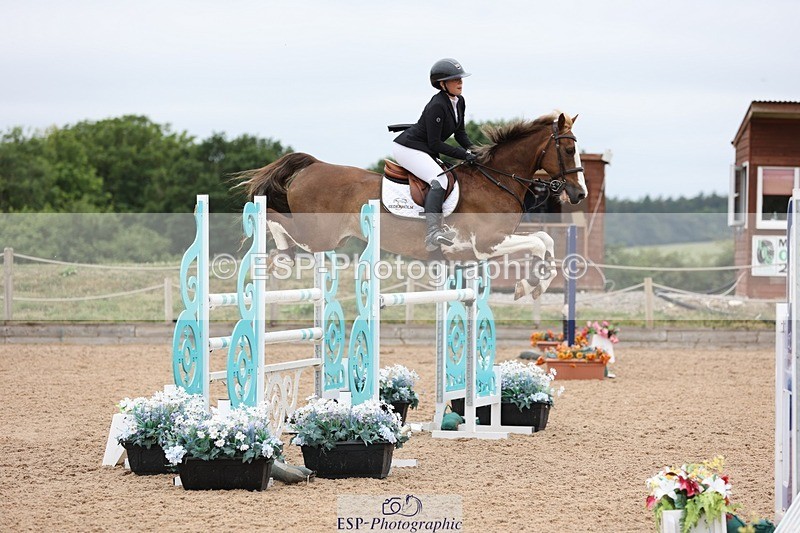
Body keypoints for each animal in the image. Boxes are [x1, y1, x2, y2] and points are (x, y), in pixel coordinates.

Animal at [238, 112, 587, 299]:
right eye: (569, 150)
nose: (579, 193)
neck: (496, 179)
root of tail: (313, 165)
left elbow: (545, 239)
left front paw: (534, 284)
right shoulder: (485, 244)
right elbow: (538, 242)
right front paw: (529, 285)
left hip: (329, 238)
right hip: (319, 234)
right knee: (275, 217)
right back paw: (278, 253)